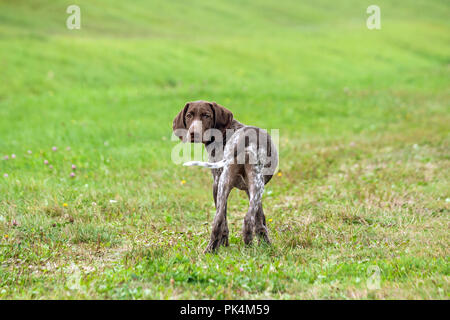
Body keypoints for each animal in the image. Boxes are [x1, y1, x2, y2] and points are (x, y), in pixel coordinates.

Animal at [173, 100, 276, 252]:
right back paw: (247, 245)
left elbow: (258, 218)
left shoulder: (225, 185)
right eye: (189, 115)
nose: (193, 133)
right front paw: (265, 245)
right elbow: (259, 219)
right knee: (246, 219)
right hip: (252, 185)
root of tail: (243, 141)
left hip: (225, 185)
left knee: (218, 221)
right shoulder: (249, 190)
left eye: (206, 115)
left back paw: (211, 250)